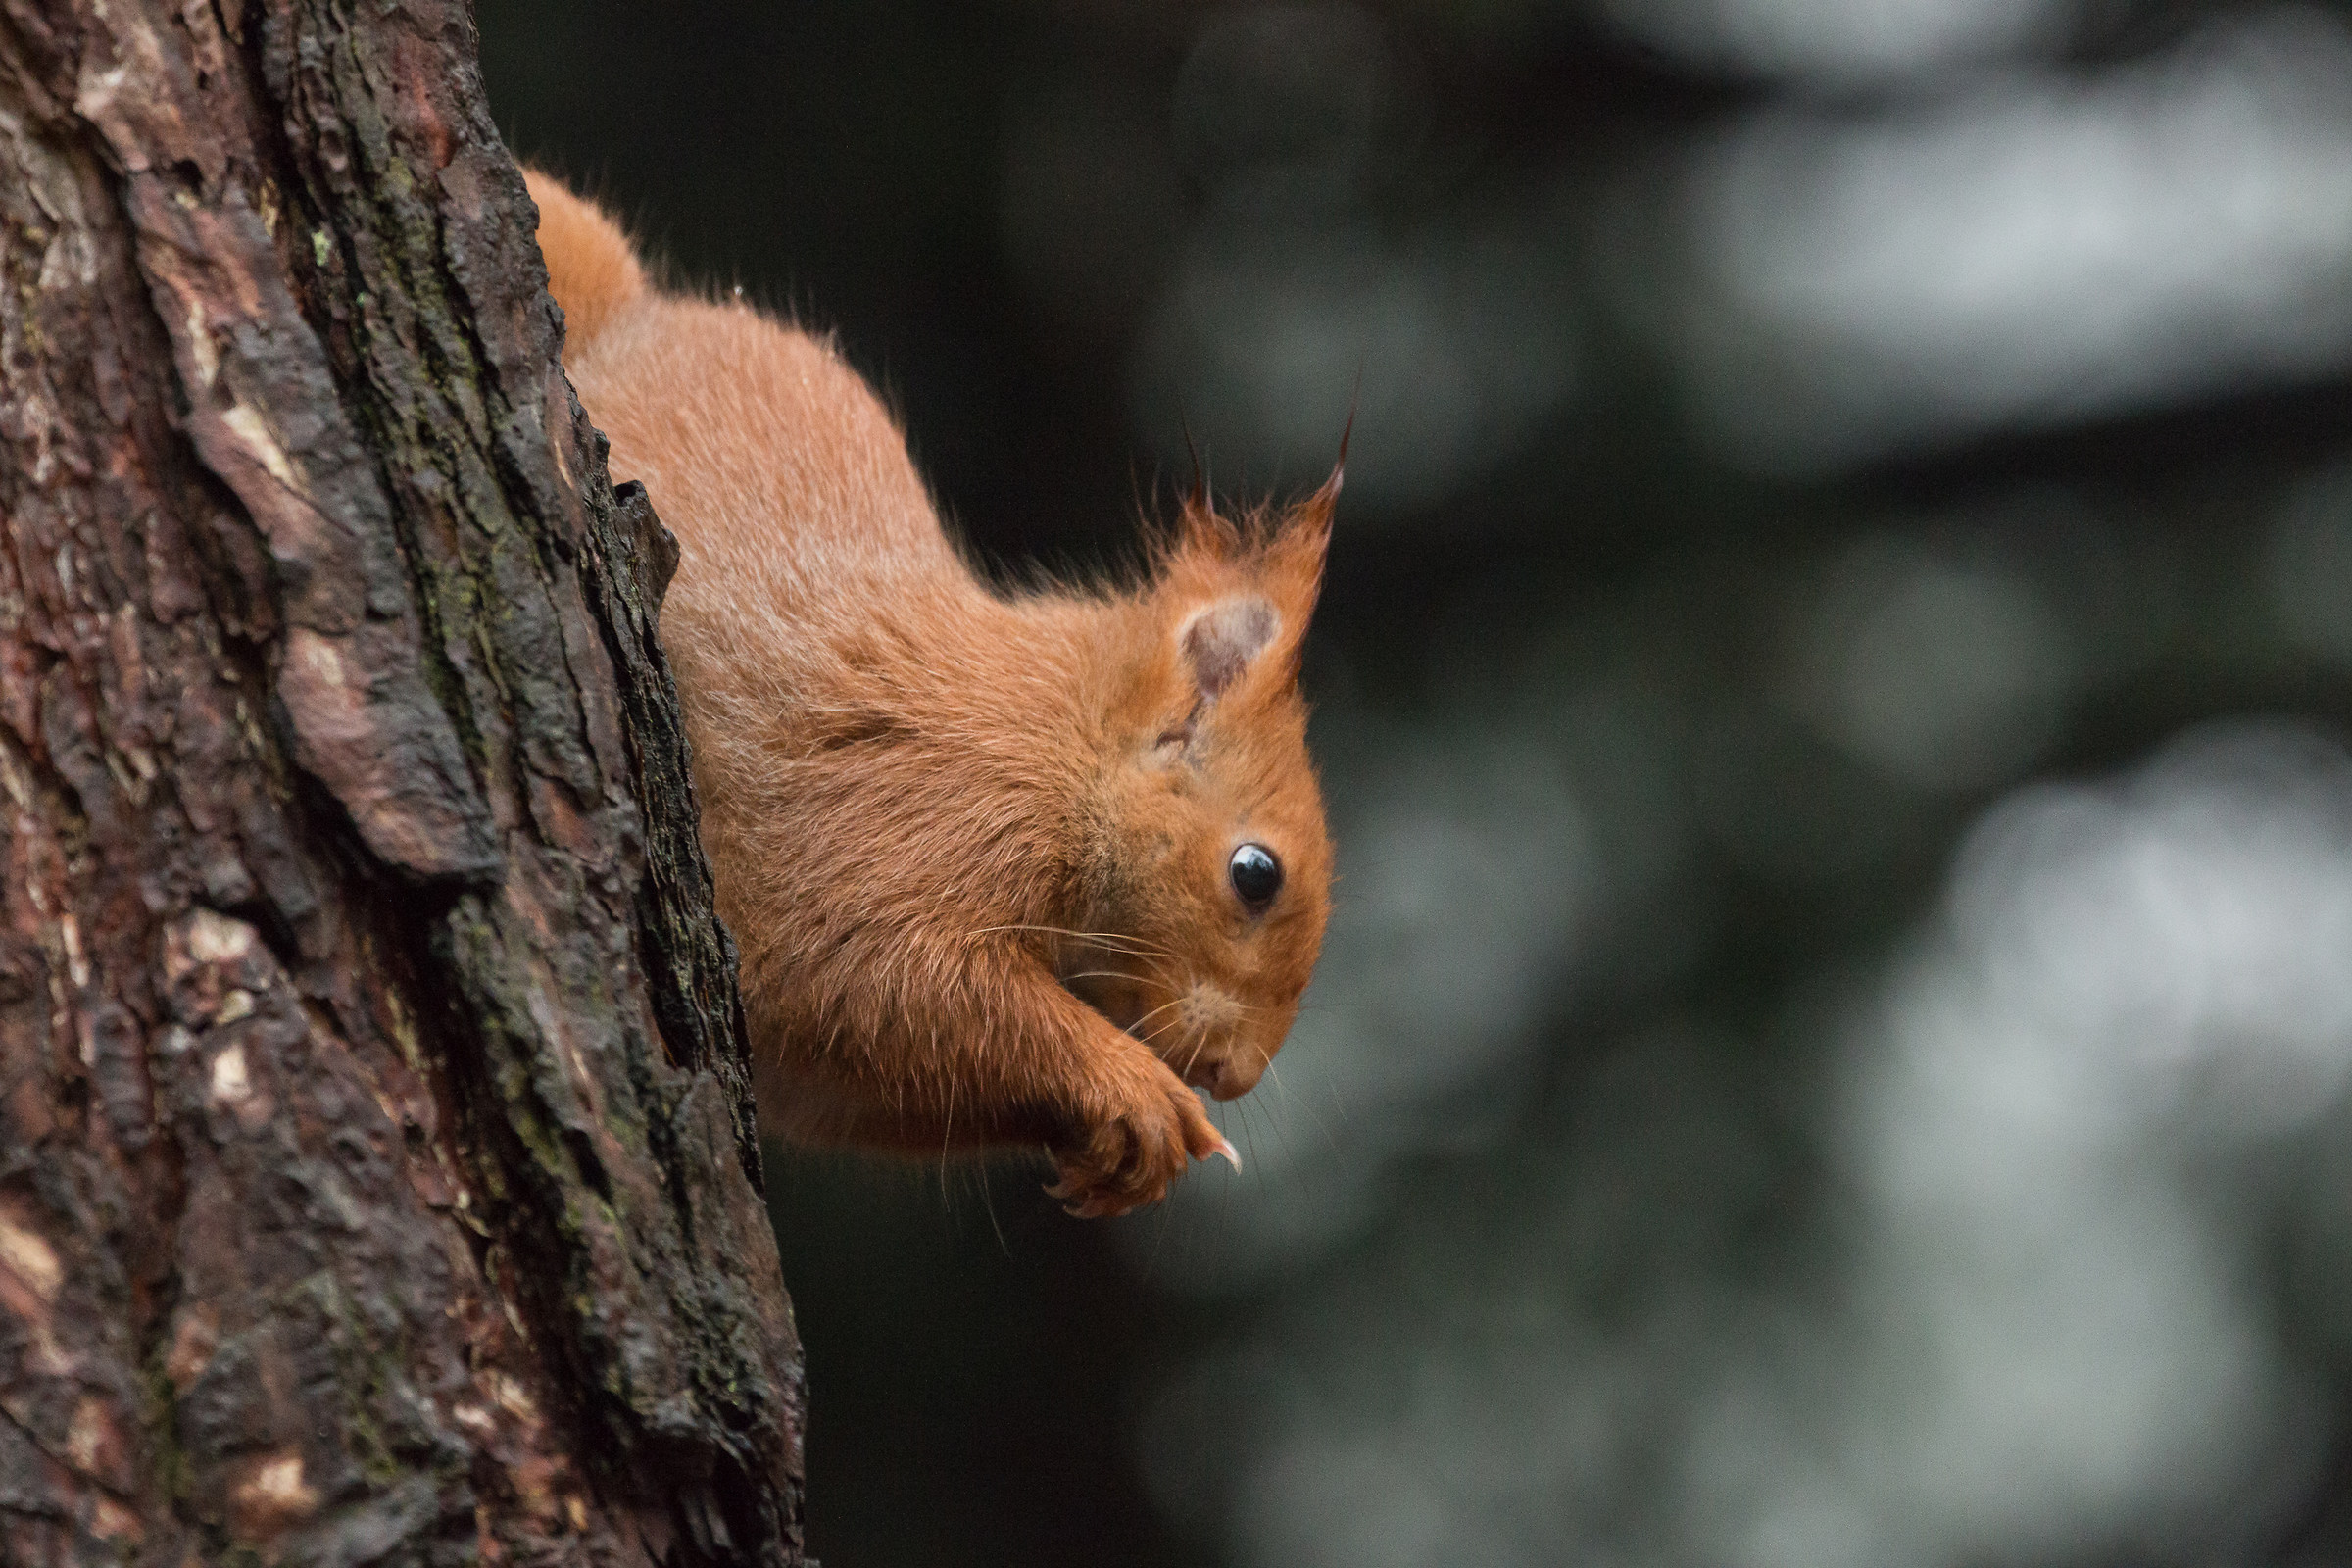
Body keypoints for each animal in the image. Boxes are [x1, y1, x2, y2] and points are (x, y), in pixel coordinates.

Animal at [523, 170, 1335, 1217]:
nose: (1235, 1073)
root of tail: (631, 319)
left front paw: (1110, 1154)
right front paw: (1139, 1090)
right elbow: (874, 976)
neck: (1061, 743)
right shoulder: (935, 806)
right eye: (1255, 874)